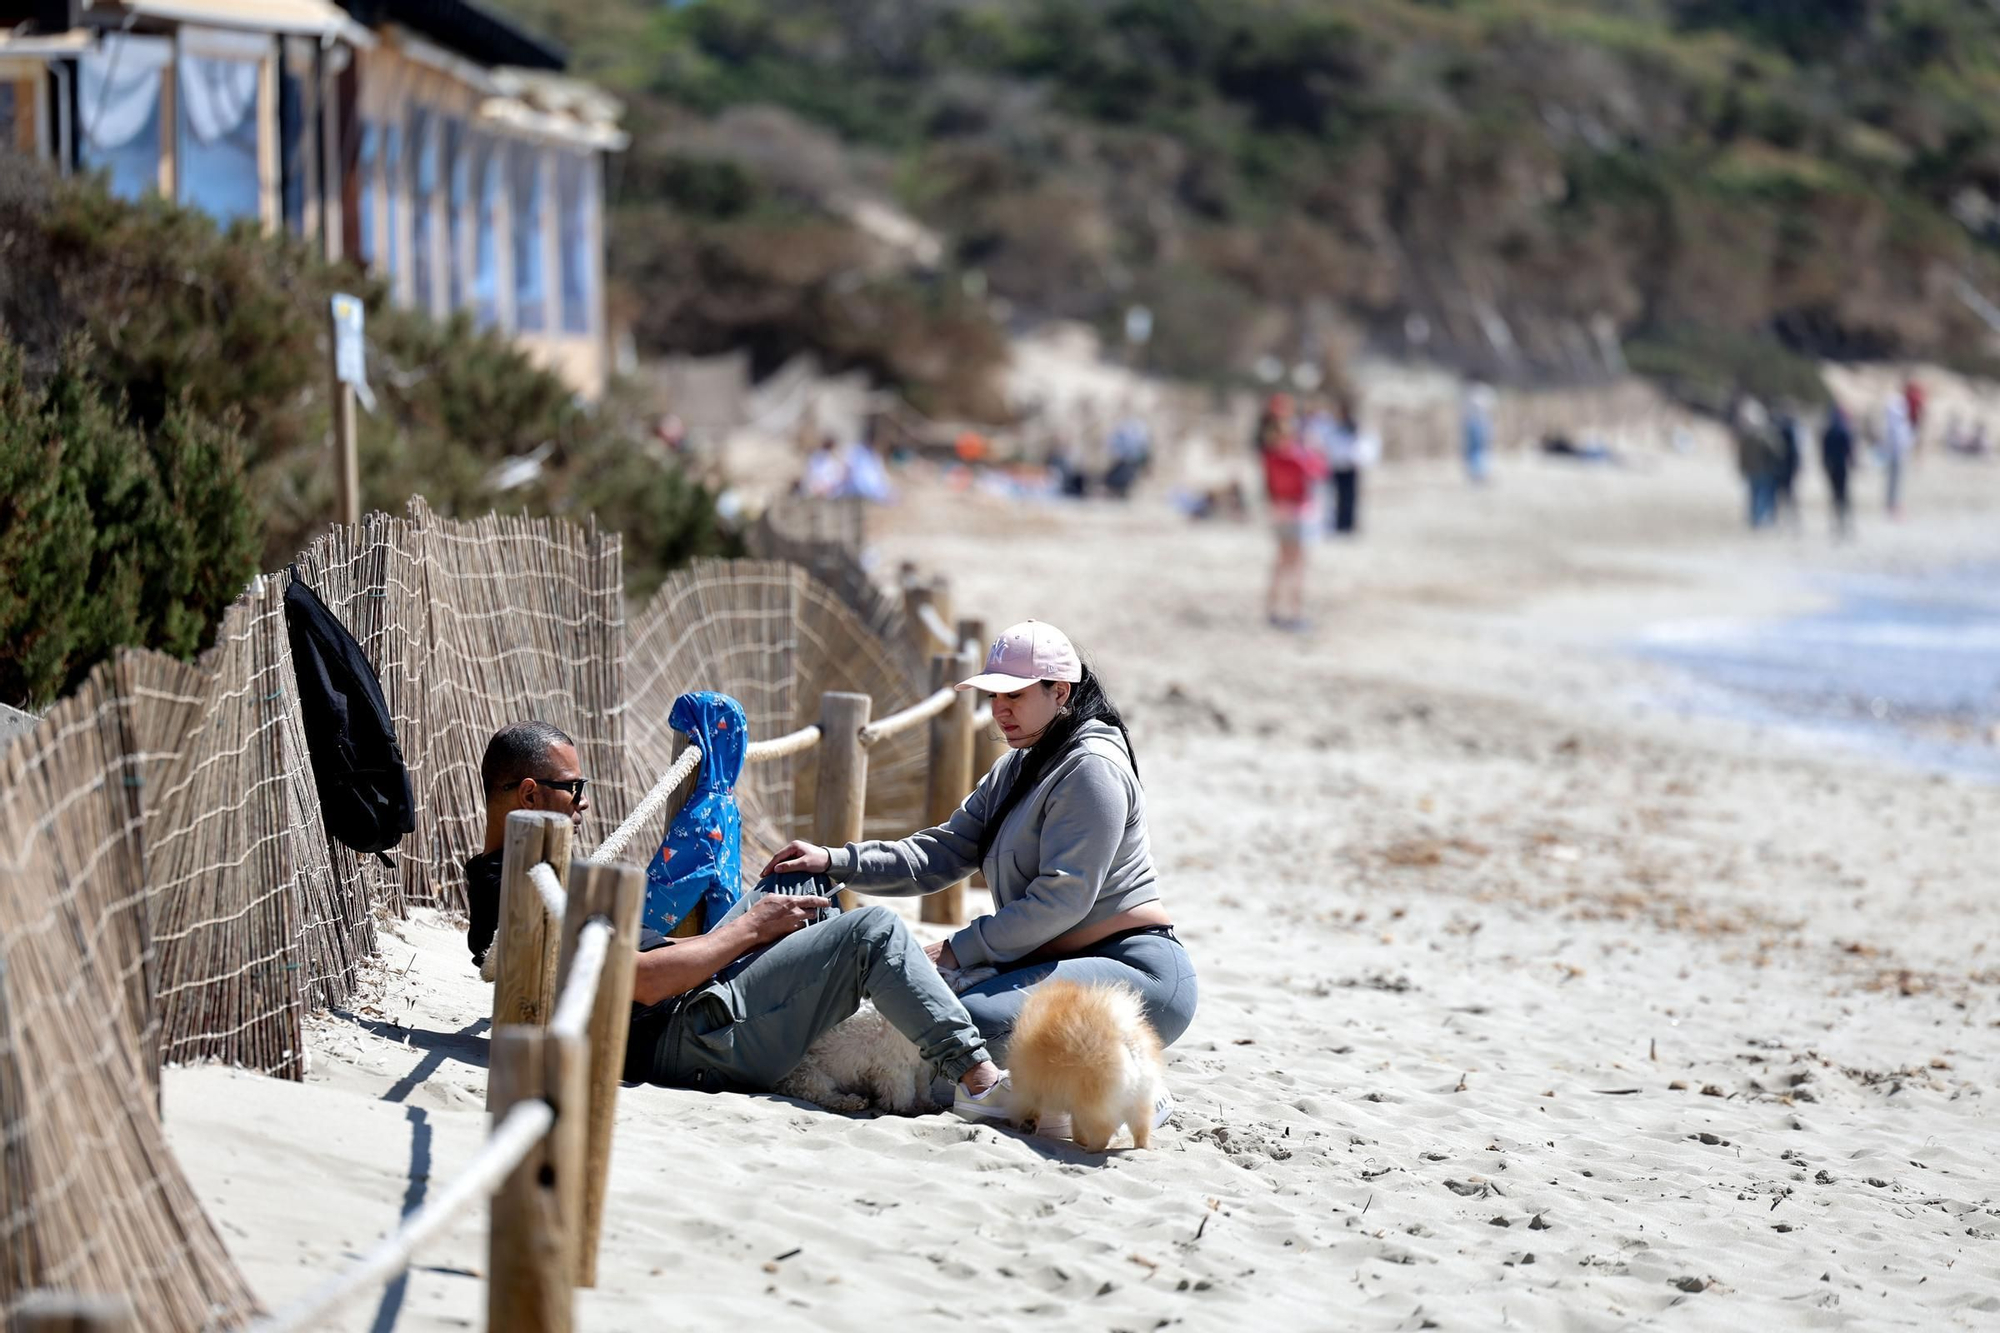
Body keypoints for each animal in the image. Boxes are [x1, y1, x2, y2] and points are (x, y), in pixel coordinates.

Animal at [1008, 972, 1168, 1144]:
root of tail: (1126, 1039)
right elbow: (1075, 1125)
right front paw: (1079, 1139)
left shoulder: (1027, 1086)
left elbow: (1030, 1108)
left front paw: (1028, 1125)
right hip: (1139, 1102)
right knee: (1141, 1132)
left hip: (1093, 1105)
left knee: (1103, 1134)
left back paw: (1092, 1148)